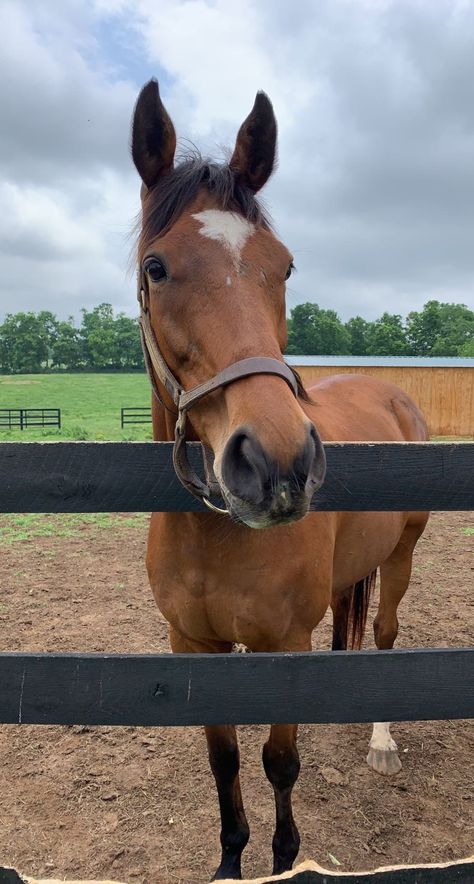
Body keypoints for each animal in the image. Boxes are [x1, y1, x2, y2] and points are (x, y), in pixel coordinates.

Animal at [131, 79, 430, 880]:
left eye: (285, 266)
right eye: (155, 268)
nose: (278, 462)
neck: (217, 538)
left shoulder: (284, 642)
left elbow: (278, 764)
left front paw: (286, 856)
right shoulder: (194, 647)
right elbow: (225, 762)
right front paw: (230, 860)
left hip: (403, 554)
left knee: (384, 633)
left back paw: (381, 740)